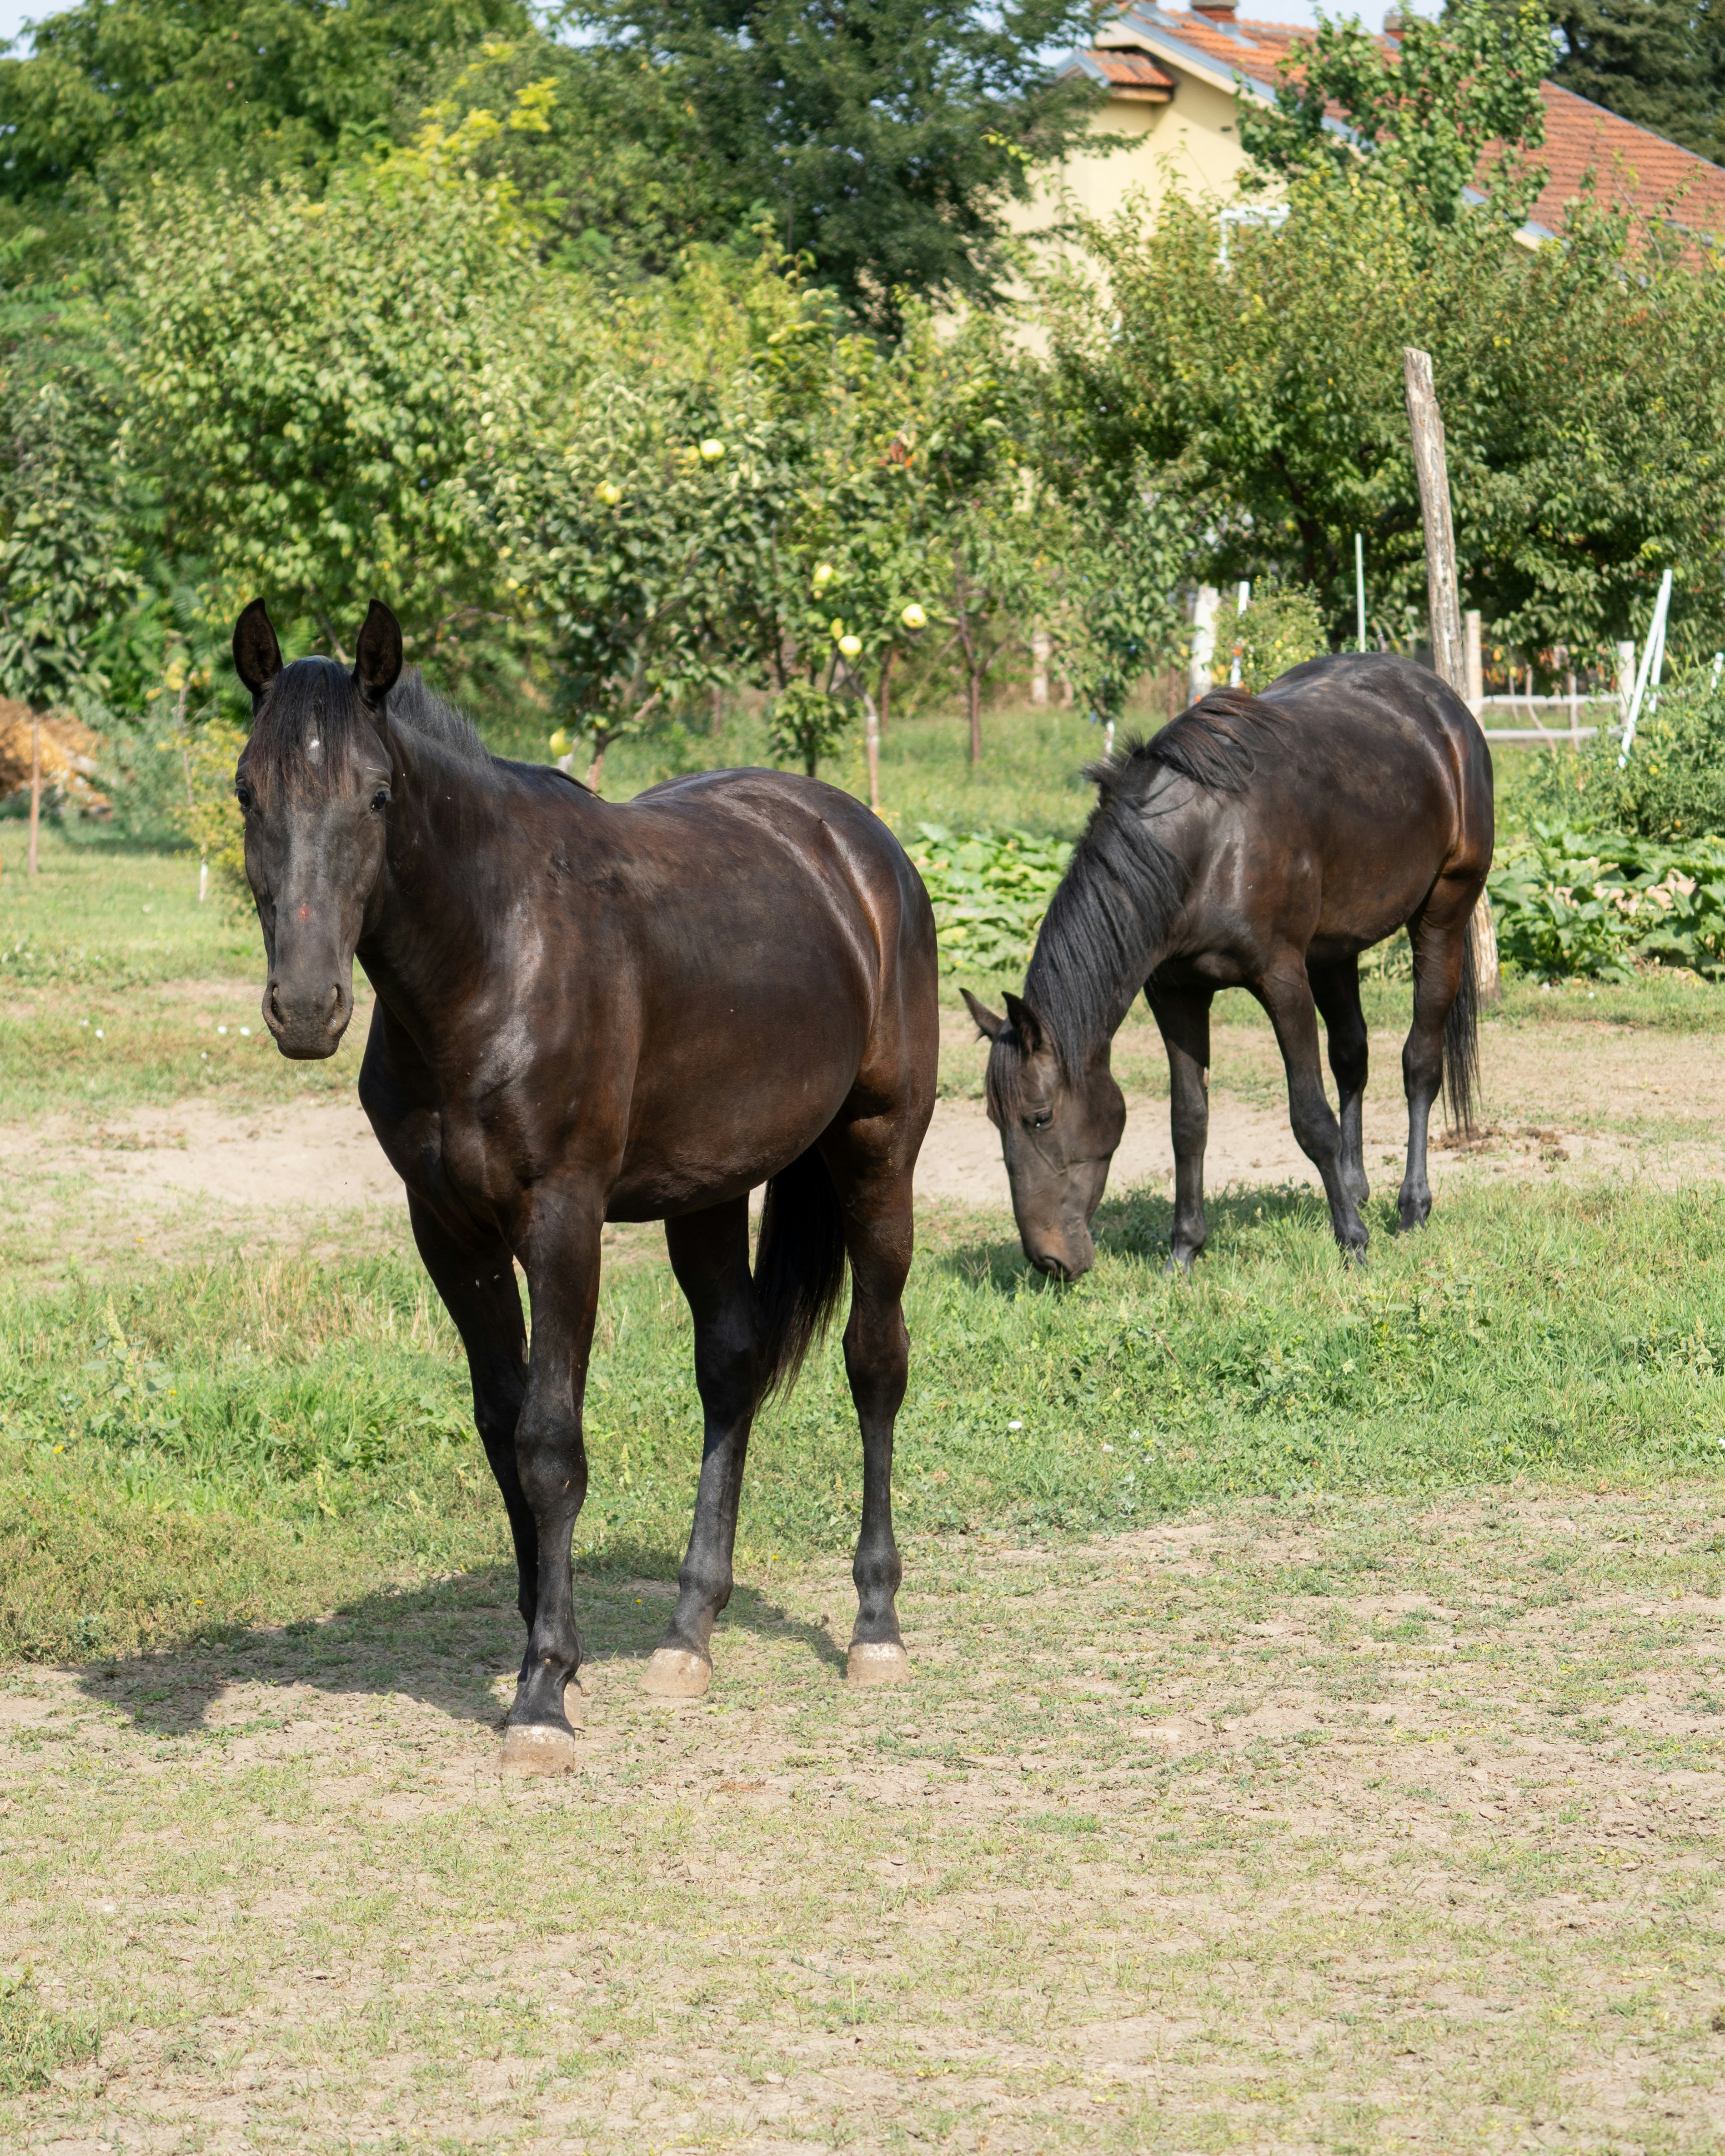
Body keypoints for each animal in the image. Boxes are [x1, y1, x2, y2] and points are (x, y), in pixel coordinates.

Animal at [231, 597, 939, 1772]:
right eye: (248, 790)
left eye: (377, 794)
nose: (305, 1006)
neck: (492, 957)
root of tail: (857, 841)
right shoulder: (450, 1229)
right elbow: (501, 1426)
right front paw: (545, 1647)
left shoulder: (562, 1217)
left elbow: (551, 1444)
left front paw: (542, 1696)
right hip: (709, 1189)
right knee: (732, 1368)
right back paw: (689, 1632)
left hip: (878, 1147)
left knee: (874, 1363)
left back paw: (876, 1627)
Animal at [963, 654, 1494, 1280]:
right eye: (992, 1119)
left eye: (1040, 1117)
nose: (1048, 1261)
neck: (1204, 844)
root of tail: (1441, 703)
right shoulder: (1175, 994)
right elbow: (1188, 1122)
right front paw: (1183, 1252)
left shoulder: (1281, 981)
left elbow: (1310, 1118)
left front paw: (1353, 1243)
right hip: (1335, 949)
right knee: (1351, 1057)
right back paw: (1355, 1186)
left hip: (1443, 912)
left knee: (1420, 1063)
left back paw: (1410, 1206)